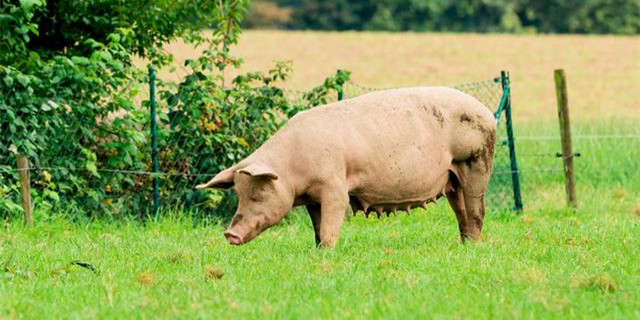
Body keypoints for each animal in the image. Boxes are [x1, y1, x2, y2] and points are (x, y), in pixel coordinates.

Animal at [195, 86, 496, 249]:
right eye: (238, 196)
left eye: (258, 194)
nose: (230, 234)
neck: (292, 170)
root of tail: (487, 112)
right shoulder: (312, 199)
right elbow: (317, 227)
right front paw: (318, 251)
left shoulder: (334, 186)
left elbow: (332, 220)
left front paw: (328, 252)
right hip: (452, 178)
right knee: (461, 211)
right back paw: (465, 244)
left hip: (476, 163)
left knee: (476, 209)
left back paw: (473, 244)